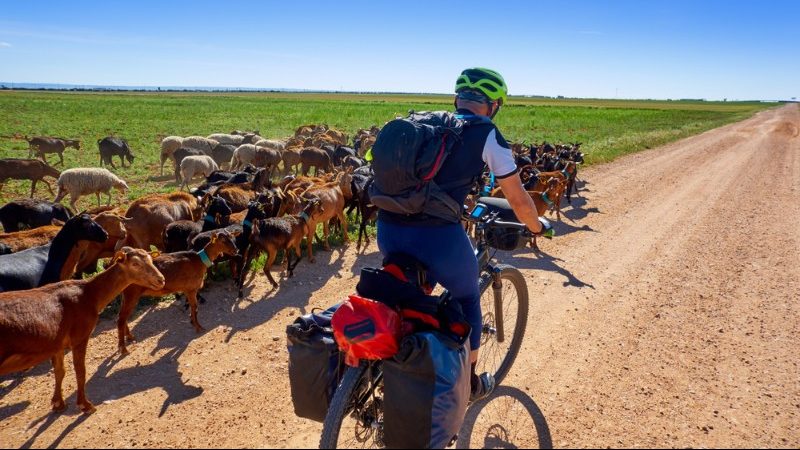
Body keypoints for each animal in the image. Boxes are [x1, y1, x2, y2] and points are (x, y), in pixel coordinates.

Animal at [0, 248, 165, 414]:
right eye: (135, 264)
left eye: (151, 260)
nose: (161, 280)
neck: (90, 295)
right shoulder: (79, 337)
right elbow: (80, 372)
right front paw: (85, 405)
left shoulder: (57, 344)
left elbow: (60, 371)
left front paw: (58, 403)